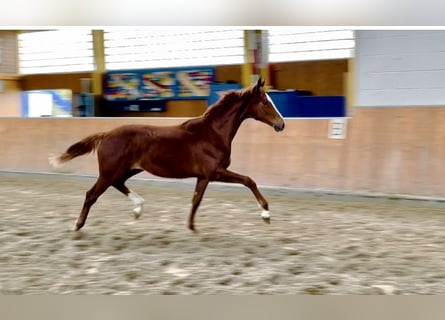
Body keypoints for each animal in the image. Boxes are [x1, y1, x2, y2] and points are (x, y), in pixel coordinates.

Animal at [48, 78, 284, 231]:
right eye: (265, 102)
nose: (281, 125)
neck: (213, 132)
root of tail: (106, 134)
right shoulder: (215, 172)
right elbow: (249, 180)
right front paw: (266, 213)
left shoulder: (203, 176)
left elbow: (196, 200)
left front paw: (191, 228)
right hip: (109, 172)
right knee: (91, 195)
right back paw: (76, 226)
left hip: (128, 169)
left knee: (118, 184)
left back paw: (138, 208)